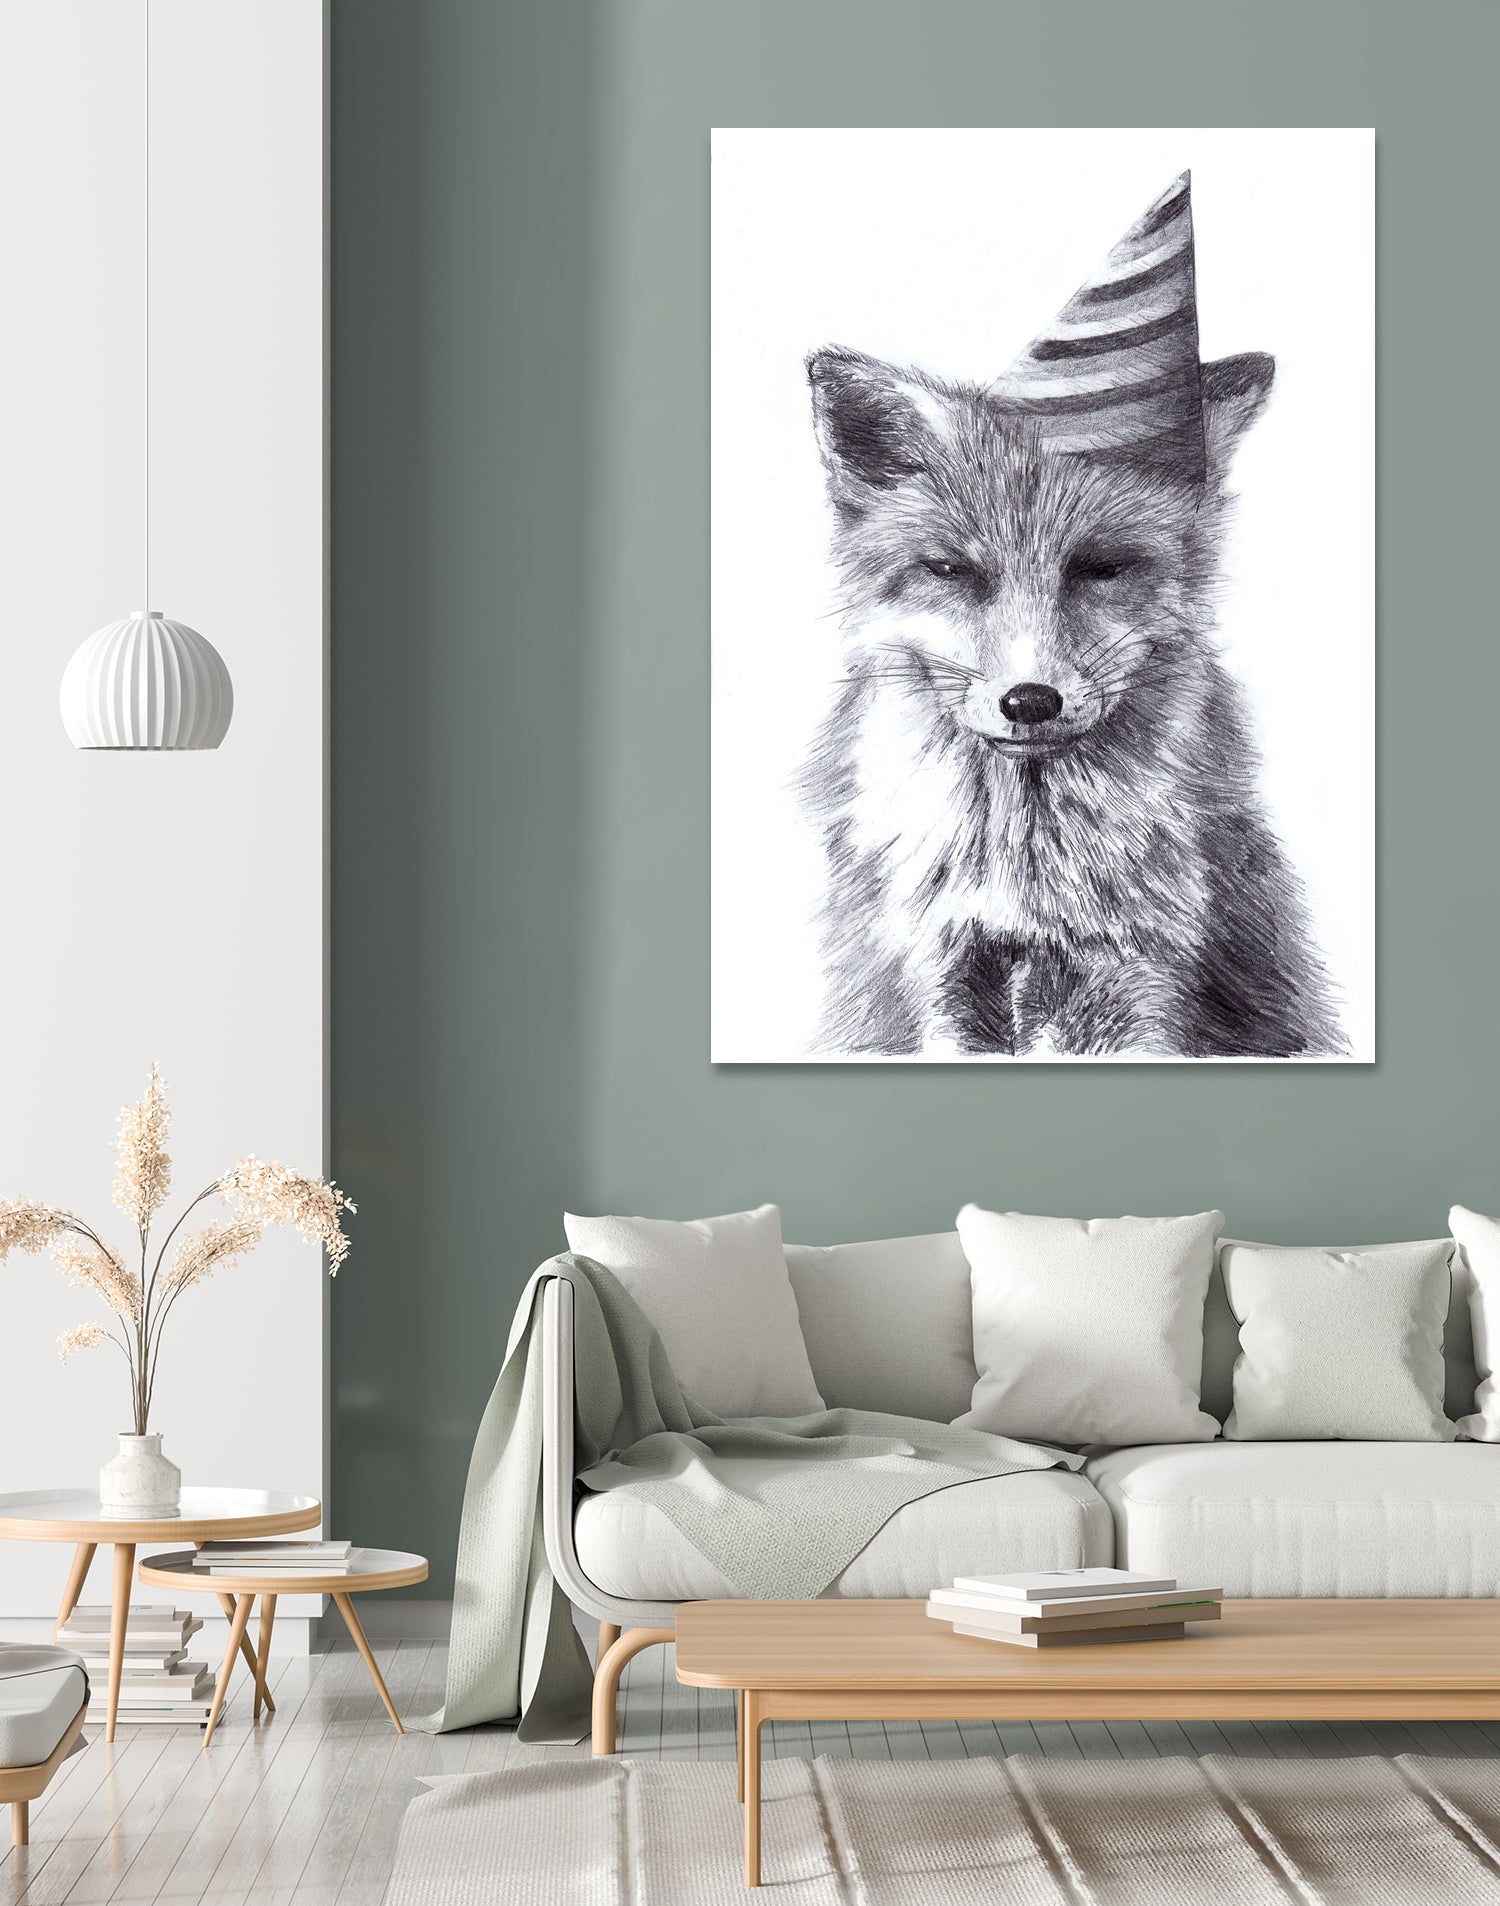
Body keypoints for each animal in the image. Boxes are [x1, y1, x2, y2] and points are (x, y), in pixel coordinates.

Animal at [799, 344, 1346, 1059]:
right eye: (949, 571)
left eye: (1102, 567)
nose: (1030, 701)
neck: (1027, 880)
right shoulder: (936, 972)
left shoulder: (1142, 973)